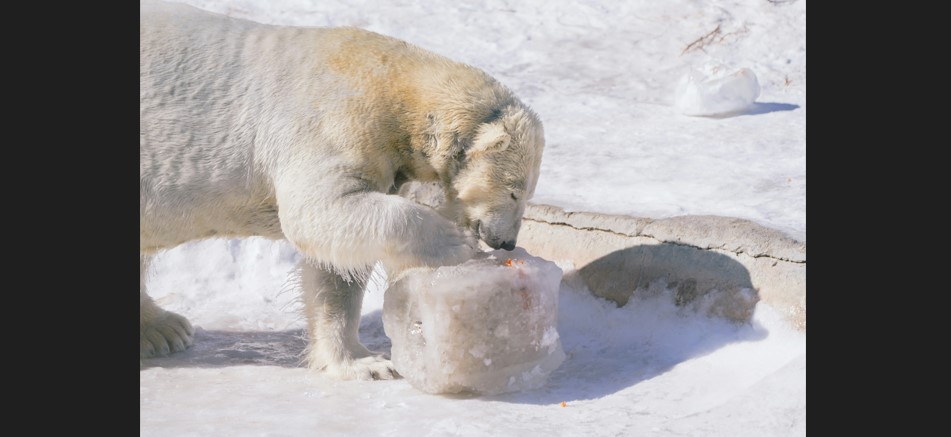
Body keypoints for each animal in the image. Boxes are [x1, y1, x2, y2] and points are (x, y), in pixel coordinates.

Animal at [138, 0, 548, 378]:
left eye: (527, 195)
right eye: (514, 191)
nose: (507, 242)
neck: (391, 83)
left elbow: (336, 270)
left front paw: (364, 361)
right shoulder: (334, 124)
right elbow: (319, 211)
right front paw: (454, 242)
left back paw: (162, 329)